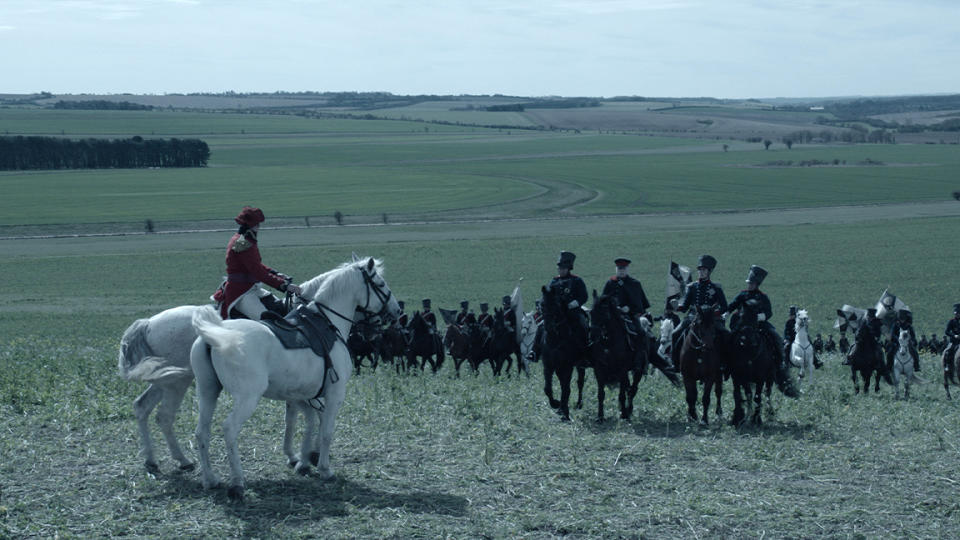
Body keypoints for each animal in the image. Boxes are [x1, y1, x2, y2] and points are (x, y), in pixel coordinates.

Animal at [189, 255, 400, 500]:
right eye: (381, 284)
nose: (396, 311)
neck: (328, 321)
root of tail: (214, 334)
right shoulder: (334, 393)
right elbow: (326, 429)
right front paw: (324, 468)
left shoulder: (303, 394)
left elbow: (305, 422)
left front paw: (303, 460)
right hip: (246, 398)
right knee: (229, 429)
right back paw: (237, 483)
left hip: (207, 392)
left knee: (202, 432)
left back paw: (210, 479)